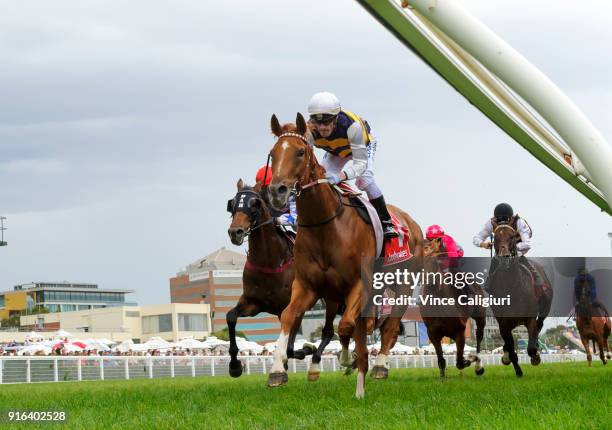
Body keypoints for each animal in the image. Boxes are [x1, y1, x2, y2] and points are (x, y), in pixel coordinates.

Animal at [227, 180, 338, 378]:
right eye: (232, 204)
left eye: (254, 204)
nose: (235, 232)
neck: (269, 262)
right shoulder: (253, 303)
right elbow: (231, 317)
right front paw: (235, 365)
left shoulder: (295, 305)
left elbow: (291, 347)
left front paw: (306, 349)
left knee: (330, 331)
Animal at [266, 113, 424, 396]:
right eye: (273, 153)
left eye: (300, 152)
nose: (277, 191)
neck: (326, 225)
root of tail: (411, 222)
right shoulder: (308, 286)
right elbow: (288, 316)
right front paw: (276, 370)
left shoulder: (358, 284)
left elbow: (346, 326)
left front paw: (348, 360)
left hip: (404, 286)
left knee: (390, 326)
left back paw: (380, 365)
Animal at [424, 240, 486, 378]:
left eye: (434, 262)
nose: (429, 281)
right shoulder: (433, 334)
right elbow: (441, 360)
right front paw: (442, 378)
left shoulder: (460, 330)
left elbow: (460, 362)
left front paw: (470, 359)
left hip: (480, 317)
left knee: (479, 336)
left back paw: (478, 365)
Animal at [488, 218, 556, 376]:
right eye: (495, 237)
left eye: (512, 236)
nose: (505, 257)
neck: (512, 286)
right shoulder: (503, 323)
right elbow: (511, 349)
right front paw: (517, 369)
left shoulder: (529, 318)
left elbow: (531, 348)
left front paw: (535, 356)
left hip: (545, 307)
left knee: (539, 324)